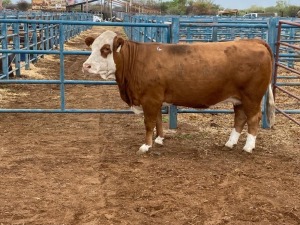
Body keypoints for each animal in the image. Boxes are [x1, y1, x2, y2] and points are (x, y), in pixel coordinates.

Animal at [82, 30, 274, 155]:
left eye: (106, 49)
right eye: (92, 47)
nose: (86, 65)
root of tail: (252, 41)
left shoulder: (150, 99)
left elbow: (149, 123)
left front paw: (146, 146)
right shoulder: (155, 99)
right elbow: (158, 120)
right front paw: (159, 139)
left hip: (252, 97)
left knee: (253, 118)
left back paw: (248, 147)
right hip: (238, 98)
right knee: (240, 118)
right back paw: (230, 143)